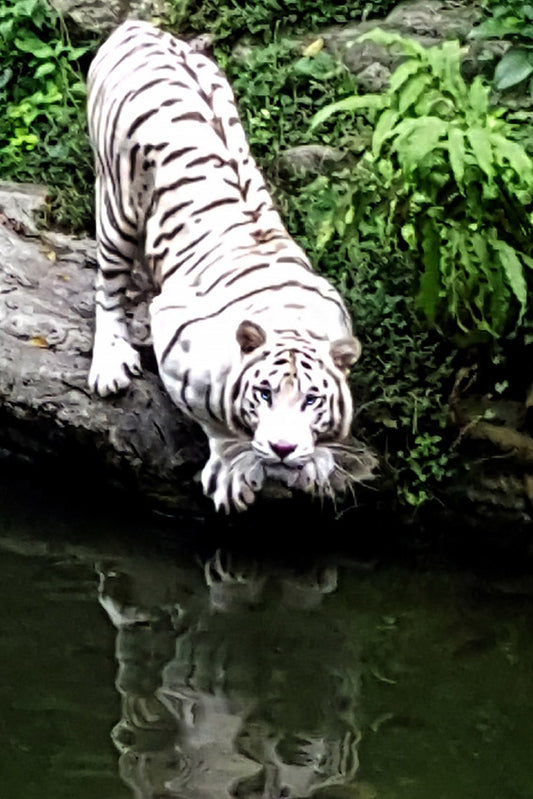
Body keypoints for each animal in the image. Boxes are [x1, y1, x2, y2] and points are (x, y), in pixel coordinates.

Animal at [87, 19, 376, 513]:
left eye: (312, 400)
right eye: (264, 393)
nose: (283, 449)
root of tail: (137, 25)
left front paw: (316, 463)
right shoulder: (178, 344)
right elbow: (216, 424)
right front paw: (233, 471)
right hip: (116, 204)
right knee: (107, 287)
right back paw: (111, 363)